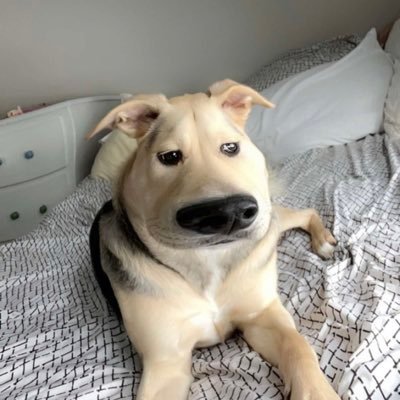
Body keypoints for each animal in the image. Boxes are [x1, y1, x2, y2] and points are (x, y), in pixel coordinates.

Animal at [86, 79, 338, 398]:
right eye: (169, 157)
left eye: (230, 147)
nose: (229, 213)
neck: (207, 263)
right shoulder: (166, 362)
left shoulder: (261, 317)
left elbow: (299, 346)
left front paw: (317, 389)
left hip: (268, 217)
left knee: (305, 212)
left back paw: (323, 240)